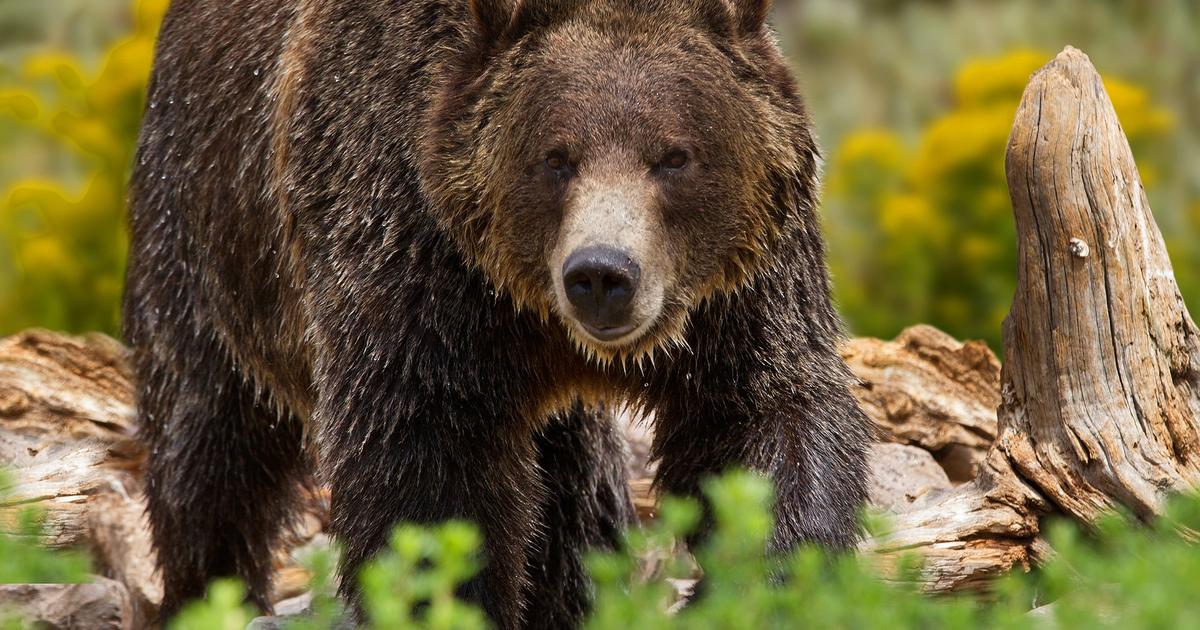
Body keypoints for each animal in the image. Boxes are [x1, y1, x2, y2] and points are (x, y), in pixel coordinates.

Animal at [123, 0, 873, 627]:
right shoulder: (412, 254)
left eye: (674, 155)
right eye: (557, 157)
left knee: (574, 493)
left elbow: (761, 418)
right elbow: (426, 468)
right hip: (207, 232)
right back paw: (208, 593)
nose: (602, 275)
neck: (529, 311)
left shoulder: (738, 289)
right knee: (207, 450)